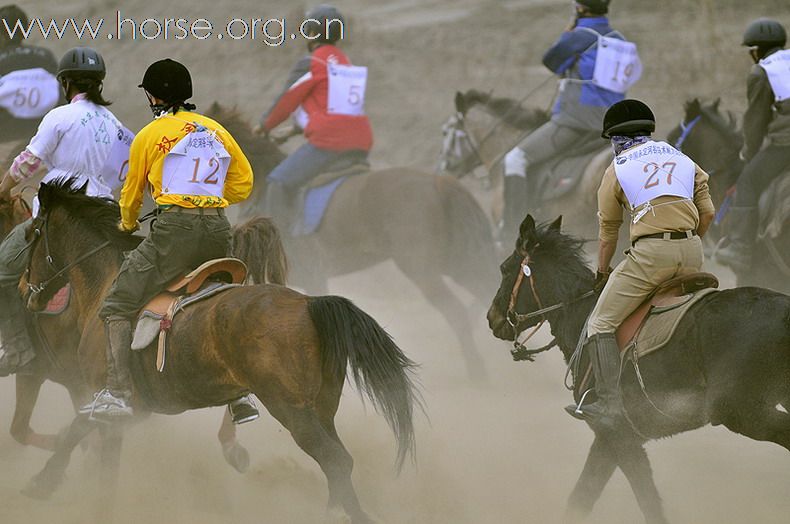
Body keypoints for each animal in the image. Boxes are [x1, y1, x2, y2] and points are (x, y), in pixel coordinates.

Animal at [210, 104, 502, 378]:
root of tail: (441, 184)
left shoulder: (310, 278)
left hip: (424, 270)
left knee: (458, 313)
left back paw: (478, 373)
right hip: (458, 262)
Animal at [488, 214, 790, 524]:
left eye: (504, 269)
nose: (492, 318)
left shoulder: (617, 434)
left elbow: (644, 501)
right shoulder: (612, 439)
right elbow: (584, 496)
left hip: (741, 411)